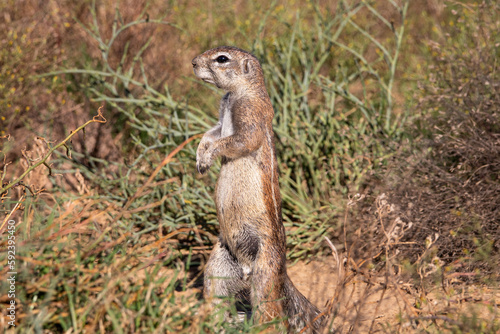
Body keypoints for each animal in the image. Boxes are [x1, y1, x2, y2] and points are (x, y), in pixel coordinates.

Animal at [191, 46, 324, 332]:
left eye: (222, 58)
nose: (193, 62)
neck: (239, 93)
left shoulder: (251, 115)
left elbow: (238, 140)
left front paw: (209, 156)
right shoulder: (221, 118)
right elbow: (210, 133)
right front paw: (200, 159)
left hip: (264, 277)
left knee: (270, 314)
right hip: (218, 265)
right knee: (217, 295)